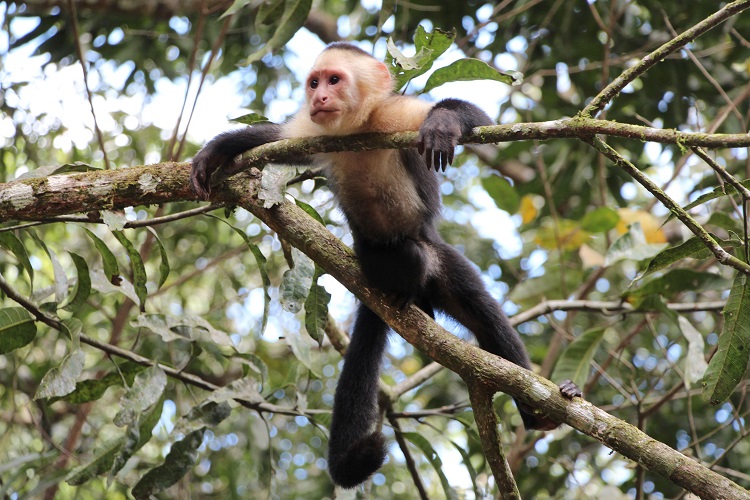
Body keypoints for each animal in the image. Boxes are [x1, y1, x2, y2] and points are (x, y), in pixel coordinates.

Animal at [191, 43, 584, 488]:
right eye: (314, 83)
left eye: (333, 81)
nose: (318, 98)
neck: (357, 128)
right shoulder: (315, 130)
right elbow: (274, 139)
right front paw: (218, 151)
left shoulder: (398, 116)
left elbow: (477, 121)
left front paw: (444, 122)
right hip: (370, 259)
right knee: (406, 258)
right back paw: (405, 288)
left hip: (439, 255)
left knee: (478, 309)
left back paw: (536, 415)